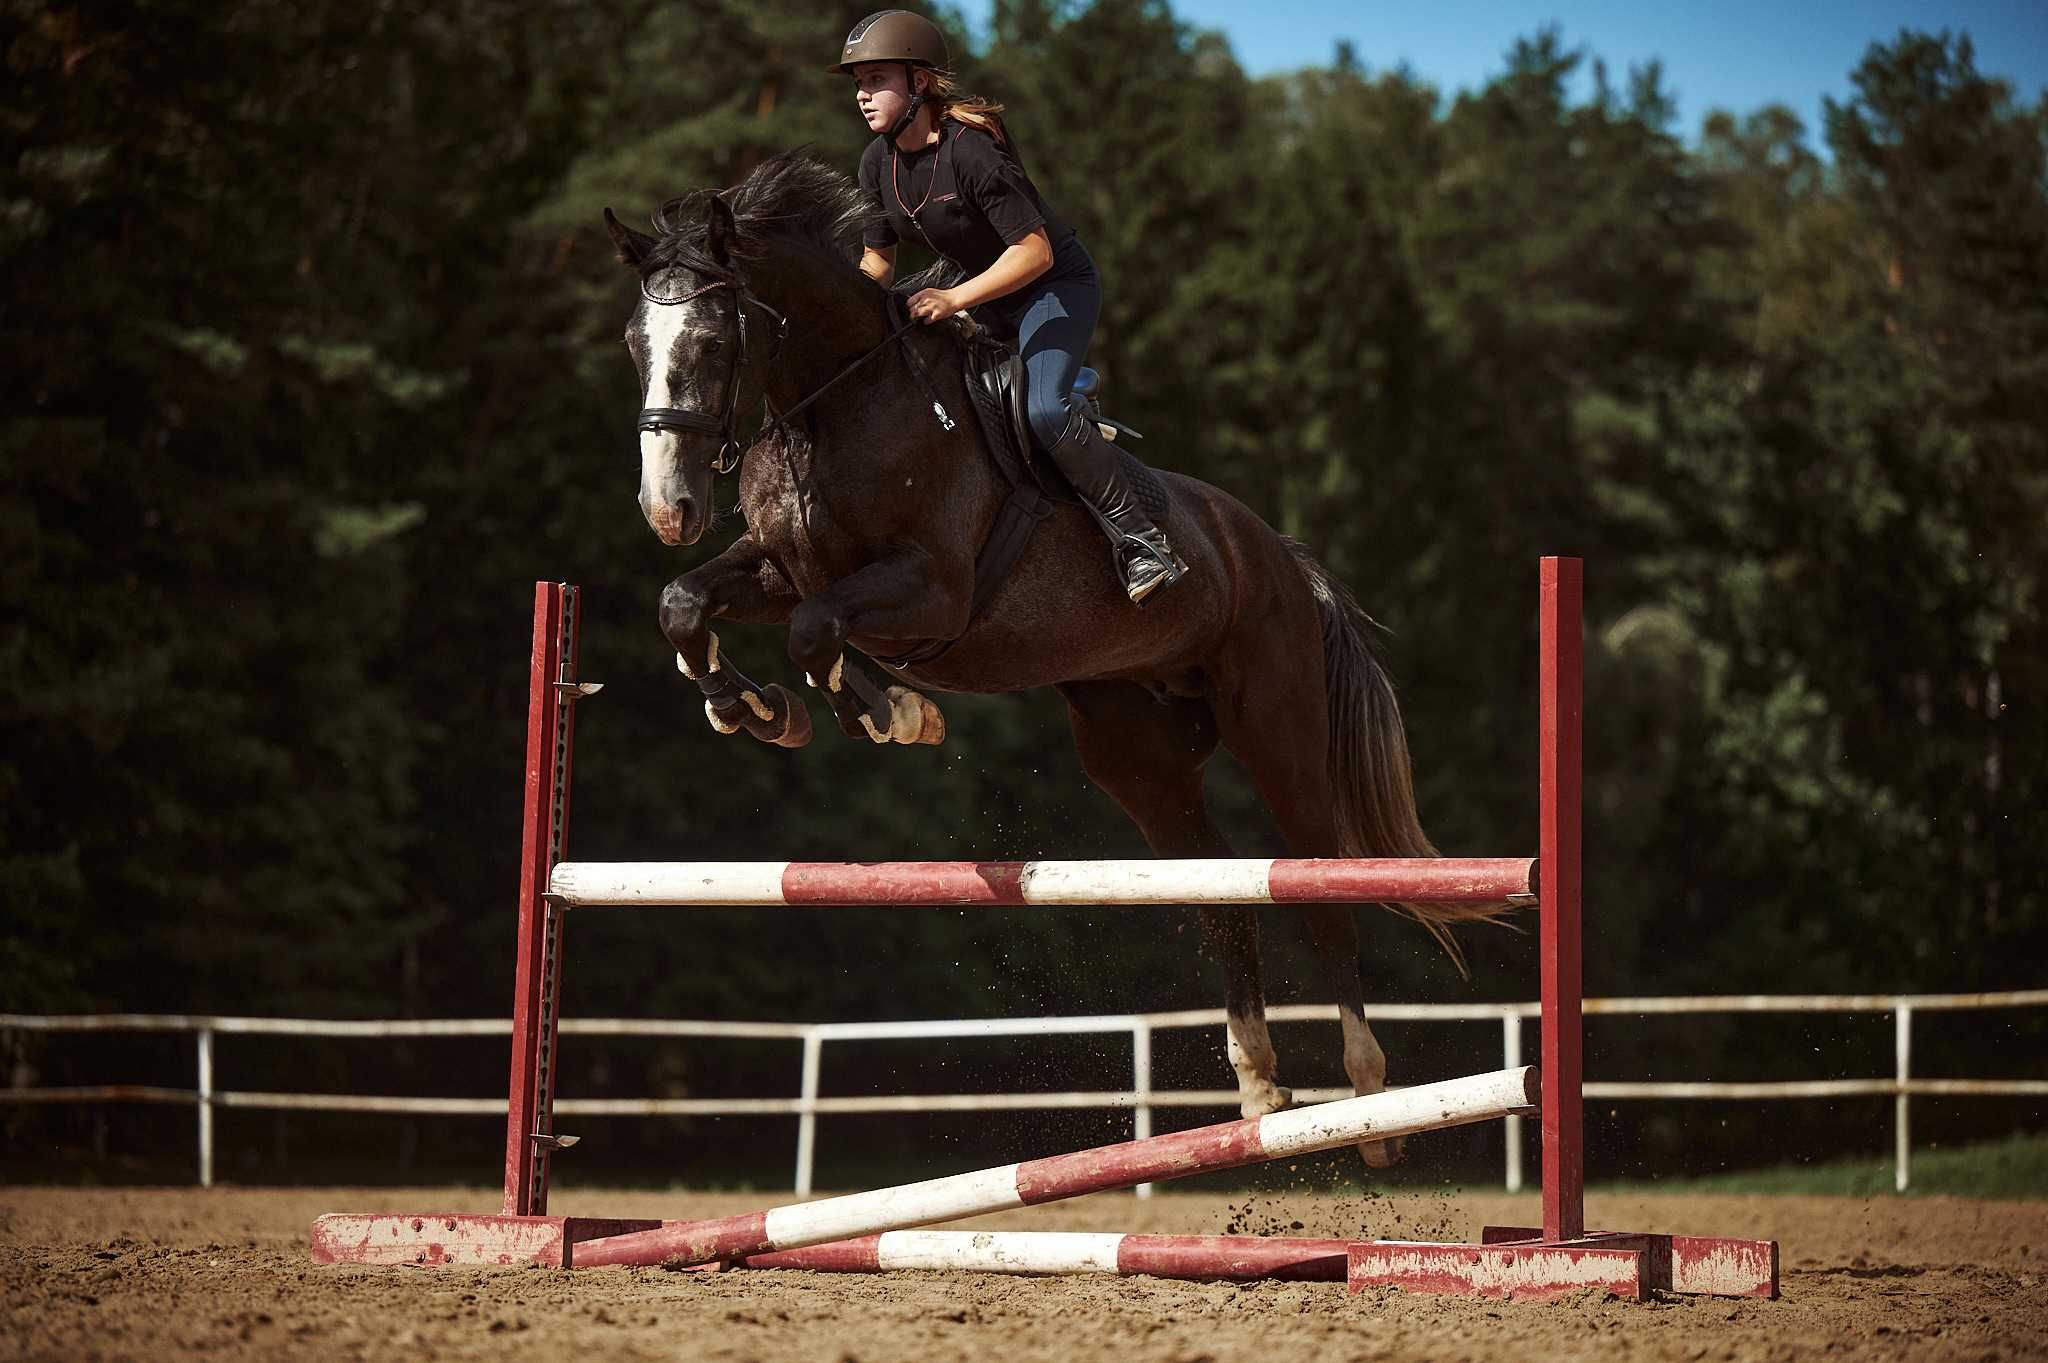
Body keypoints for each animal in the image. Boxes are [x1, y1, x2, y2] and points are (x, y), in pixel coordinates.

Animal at [602, 153, 1507, 1162]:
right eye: (636, 343)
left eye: (713, 340)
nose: (669, 510)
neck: (835, 405)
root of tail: (1279, 555)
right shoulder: (780, 568)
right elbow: (688, 606)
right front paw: (752, 707)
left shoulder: (933, 591)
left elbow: (817, 636)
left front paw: (893, 714)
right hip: (1138, 756)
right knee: (1223, 893)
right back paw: (1259, 1086)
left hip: (1277, 731)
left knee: (1319, 891)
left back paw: (1367, 1100)